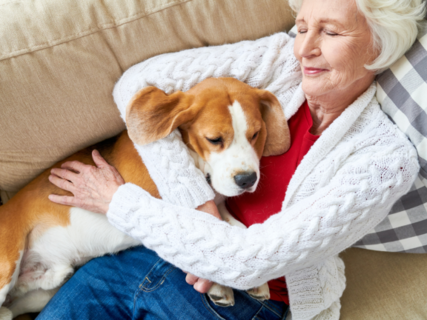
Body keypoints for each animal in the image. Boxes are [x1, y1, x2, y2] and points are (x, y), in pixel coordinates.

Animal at [0, 77, 290, 318]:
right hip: (7, 264)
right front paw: (218, 286)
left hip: (42, 292)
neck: (196, 162)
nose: (247, 180)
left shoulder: (216, 209)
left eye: (255, 134)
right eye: (214, 139)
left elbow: (238, 228)